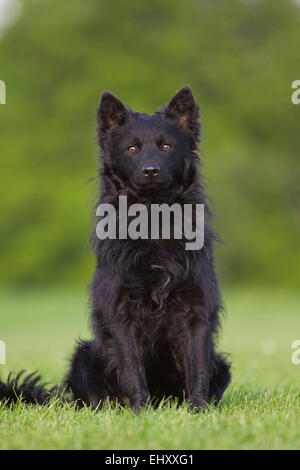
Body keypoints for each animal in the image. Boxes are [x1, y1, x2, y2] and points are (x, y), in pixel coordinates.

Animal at [0, 86, 231, 410]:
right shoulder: (122, 313)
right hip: (84, 356)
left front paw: (199, 411)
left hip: (220, 364)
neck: (152, 220)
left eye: (167, 146)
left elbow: (197, 369)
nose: (150, 170)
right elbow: (132, 369)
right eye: (132, 149)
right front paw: (142, 412)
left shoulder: (195, 310)